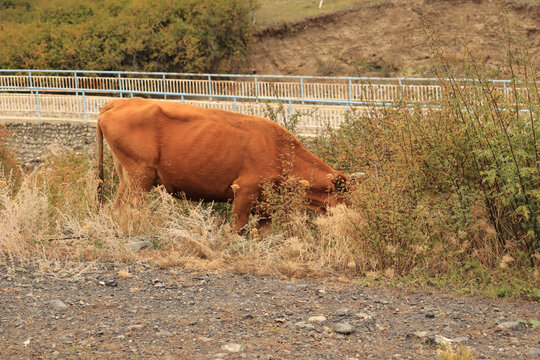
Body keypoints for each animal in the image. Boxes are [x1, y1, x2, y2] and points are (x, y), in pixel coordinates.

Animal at [98, 97, 354, 231]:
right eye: (349, 197)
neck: (278, 149)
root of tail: (118, 101)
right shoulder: (244, 191)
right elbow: (237, 228)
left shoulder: (266, 205)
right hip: (140, 177)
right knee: (130, 207)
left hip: (127, 178)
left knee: (116, 206)